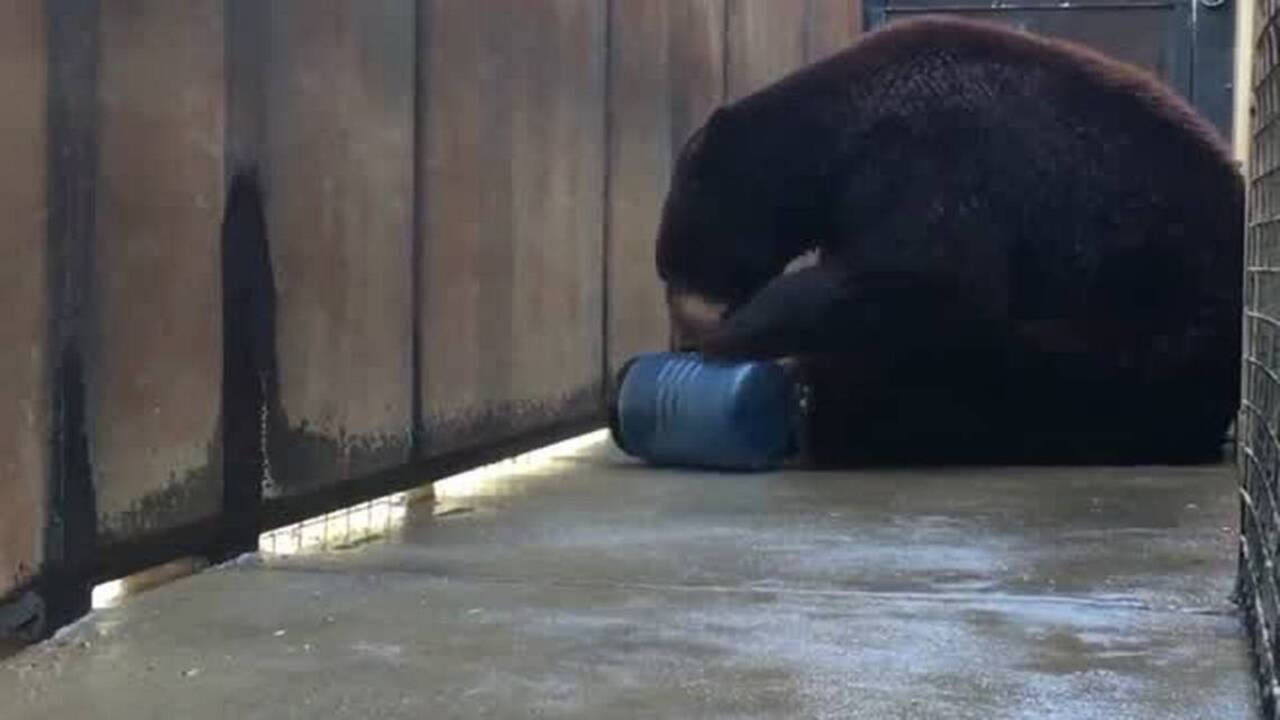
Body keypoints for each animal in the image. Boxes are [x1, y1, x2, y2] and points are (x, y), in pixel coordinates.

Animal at [655, 15, 1244, 466]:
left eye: (681, 226)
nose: (668, 272)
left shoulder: (930, 150)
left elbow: (927, 276)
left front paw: (730, 334)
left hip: (1143, 321)